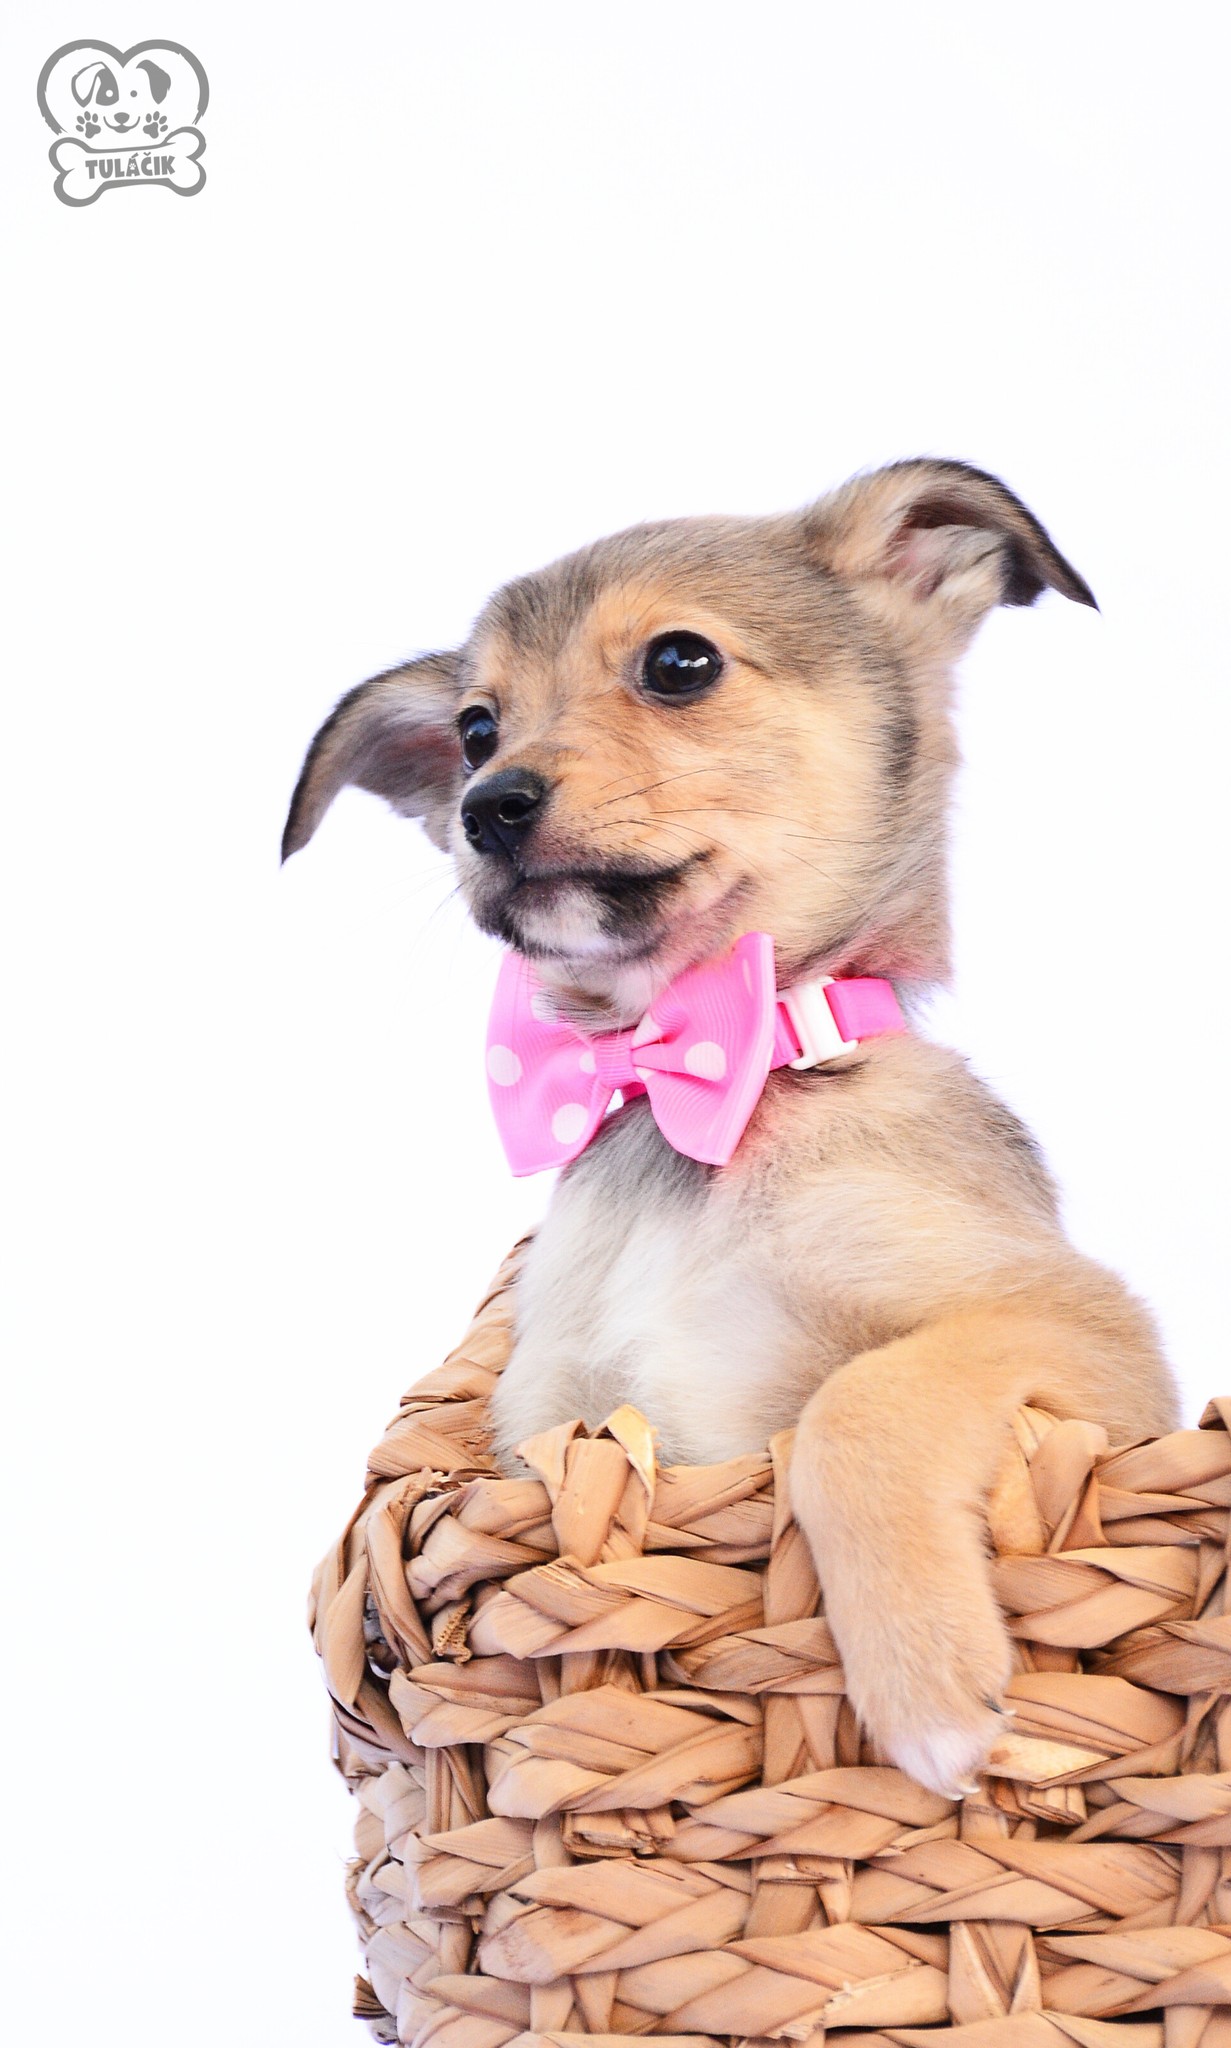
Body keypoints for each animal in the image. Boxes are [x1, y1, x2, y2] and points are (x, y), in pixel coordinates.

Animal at [282, 459, 1178, 1797]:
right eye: (476, 728)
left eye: (679, 663)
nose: (488, 805)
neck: (695, 1098)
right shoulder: (553, 1438)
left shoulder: (1088, 1341)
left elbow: (860, 1402)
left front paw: (926, 1686)